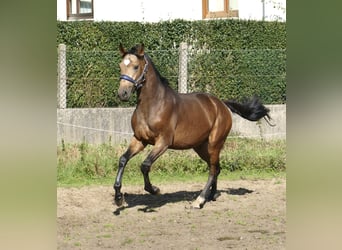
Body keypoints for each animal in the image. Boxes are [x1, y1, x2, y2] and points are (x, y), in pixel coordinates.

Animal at [115, 43, 272, 209]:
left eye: (136, 66)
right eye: (120, 66)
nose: (122, 93)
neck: (153, 105)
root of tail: (221, 104)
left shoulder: (163, 142)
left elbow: (145, 165)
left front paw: (155, 190)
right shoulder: (140, 140)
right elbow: (123, 160)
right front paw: (119, 198)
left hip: (215, 143)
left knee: (213, 169)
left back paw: (200, 200)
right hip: (201, 146)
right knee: (216, 168)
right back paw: (211, 195)